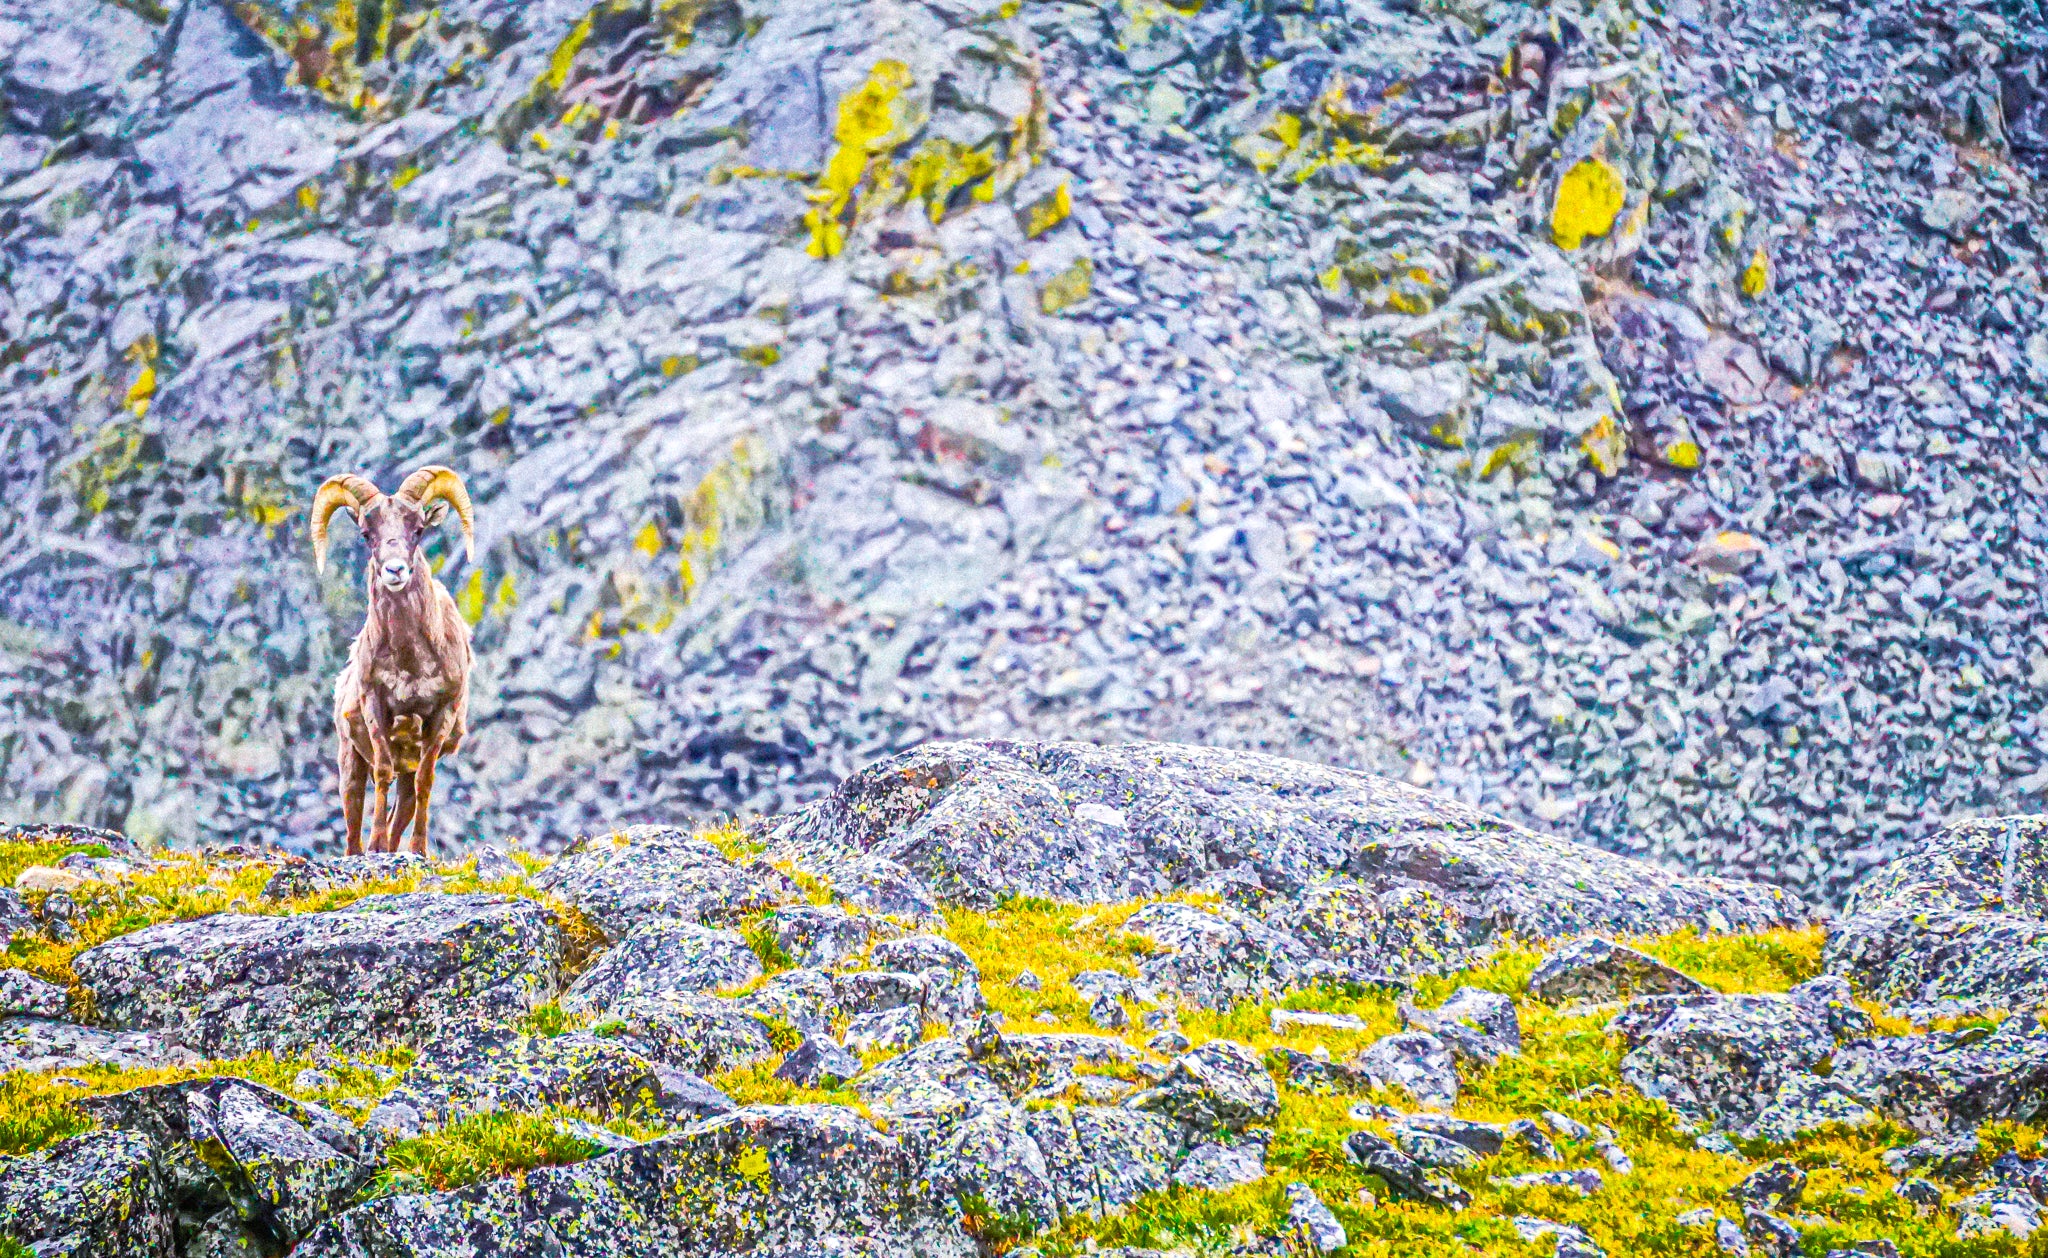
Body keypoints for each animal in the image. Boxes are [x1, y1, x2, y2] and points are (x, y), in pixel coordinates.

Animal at [310, 466, 476, 856]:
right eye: (366, 533)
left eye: (418, 529)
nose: (395, 570)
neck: (410, 664)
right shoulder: (376, 706)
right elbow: (383, 773)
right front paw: (376, 846)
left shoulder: (440, 715)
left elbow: (425, 781)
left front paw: (418, 850)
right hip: (350, 764)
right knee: (354, 816)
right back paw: (364, 851)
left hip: (405, 771)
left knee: (405, 805)